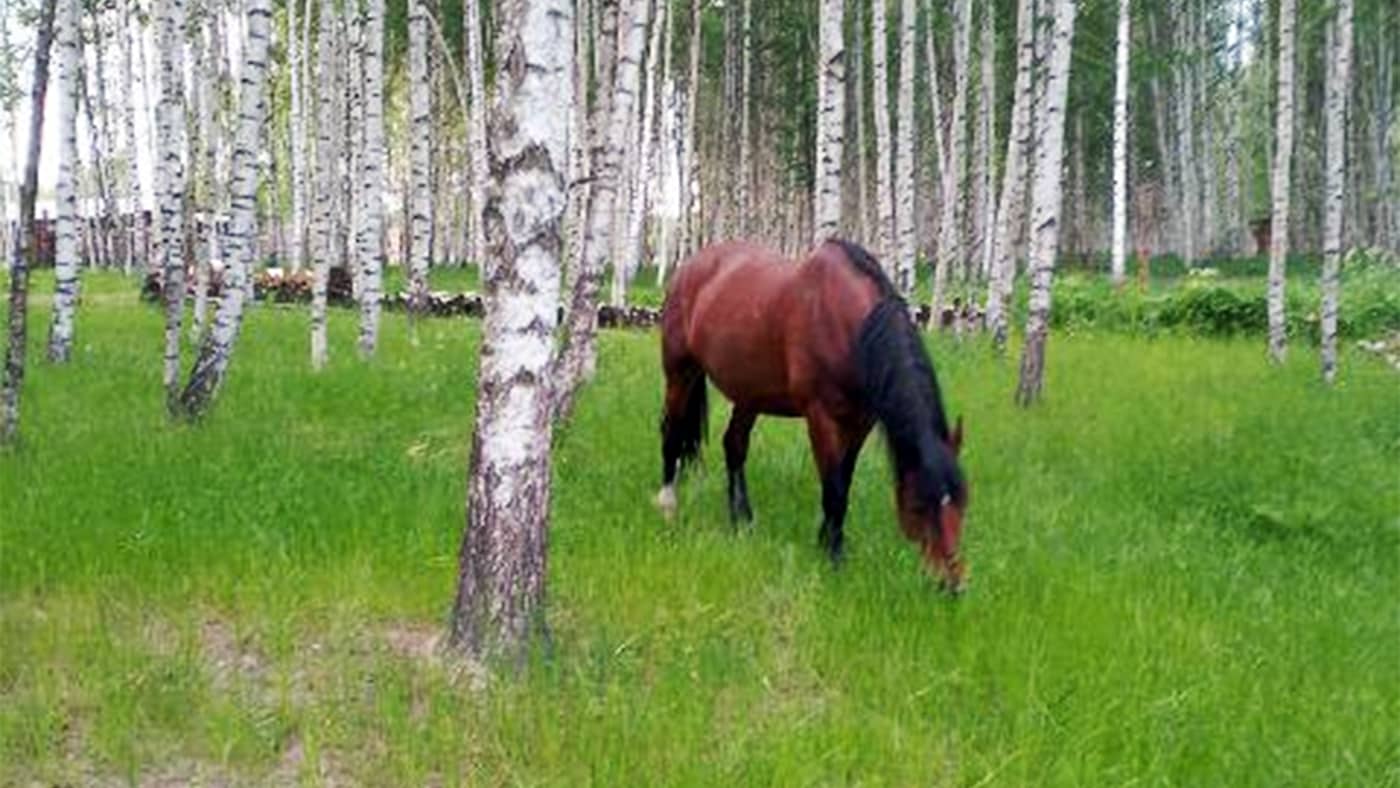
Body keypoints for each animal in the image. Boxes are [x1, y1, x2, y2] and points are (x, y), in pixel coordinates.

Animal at [658, 237, 968, 596]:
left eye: (962, 502)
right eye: (918, 506)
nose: (952, 585)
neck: (847, 324)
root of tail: (688, 268)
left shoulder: (861, 422)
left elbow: (844, 482)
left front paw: (828, 542)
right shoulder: (821, 417)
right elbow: (833, 489)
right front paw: (833, 557)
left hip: (749, 394)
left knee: (734, 446)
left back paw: (742, 520)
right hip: (681, 372)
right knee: (671, 434)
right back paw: (668, 507)